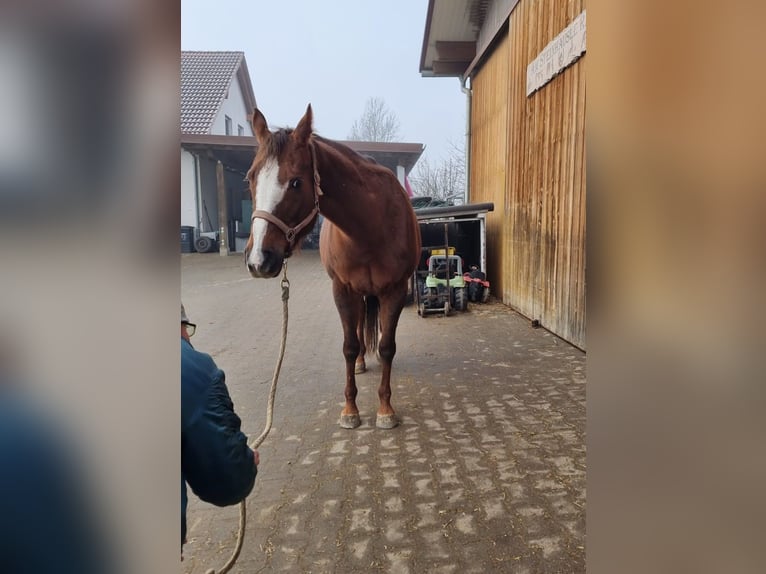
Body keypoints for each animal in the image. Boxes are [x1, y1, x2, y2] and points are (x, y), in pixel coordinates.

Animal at [246, 106, 424, 430]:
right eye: (250, 178)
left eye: (296, 182)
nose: (258, 260)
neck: (370, 228)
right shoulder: (342, 289)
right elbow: (349, 346)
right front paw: (350, 410)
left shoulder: (394, 290)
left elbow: (387, 347)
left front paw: (385, 410)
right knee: (357, 325)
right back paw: (362, 363)